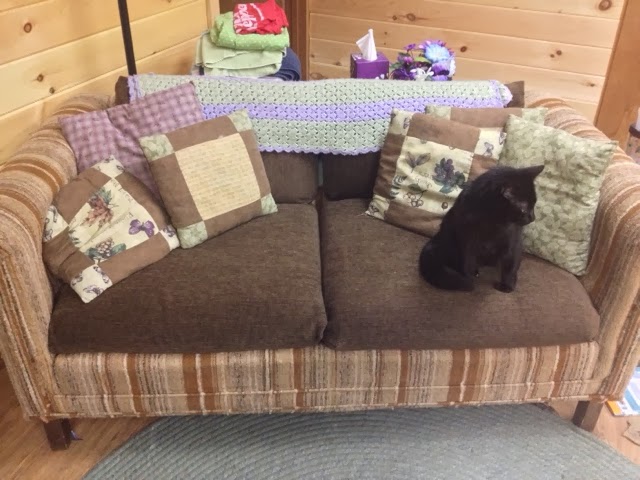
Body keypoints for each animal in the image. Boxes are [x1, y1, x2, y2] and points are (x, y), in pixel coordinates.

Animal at [418, 164, 544, 293]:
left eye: (534, 204)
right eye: (524, 208)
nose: (533, 217)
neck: (492, 221)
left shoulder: (512, 238)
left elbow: (511, 261)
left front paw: (507, 285)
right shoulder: (466, 239)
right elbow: (466, 261)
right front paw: (468, 280)